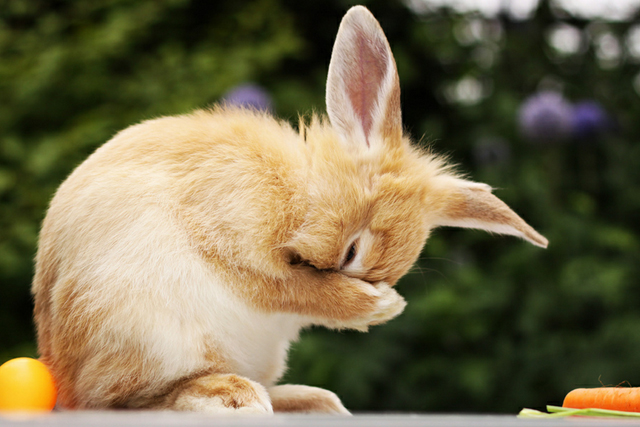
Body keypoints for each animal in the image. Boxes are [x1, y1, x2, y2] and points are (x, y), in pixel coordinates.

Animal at [32, 5, 548, 416]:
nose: (377, 288)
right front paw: (379, 307)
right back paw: (231, 396)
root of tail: (60, 369)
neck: (299, 191)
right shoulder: (235, 251)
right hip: (147, 334)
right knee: (119, 399)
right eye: (352, 251)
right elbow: (291, 289)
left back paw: (314, 400)